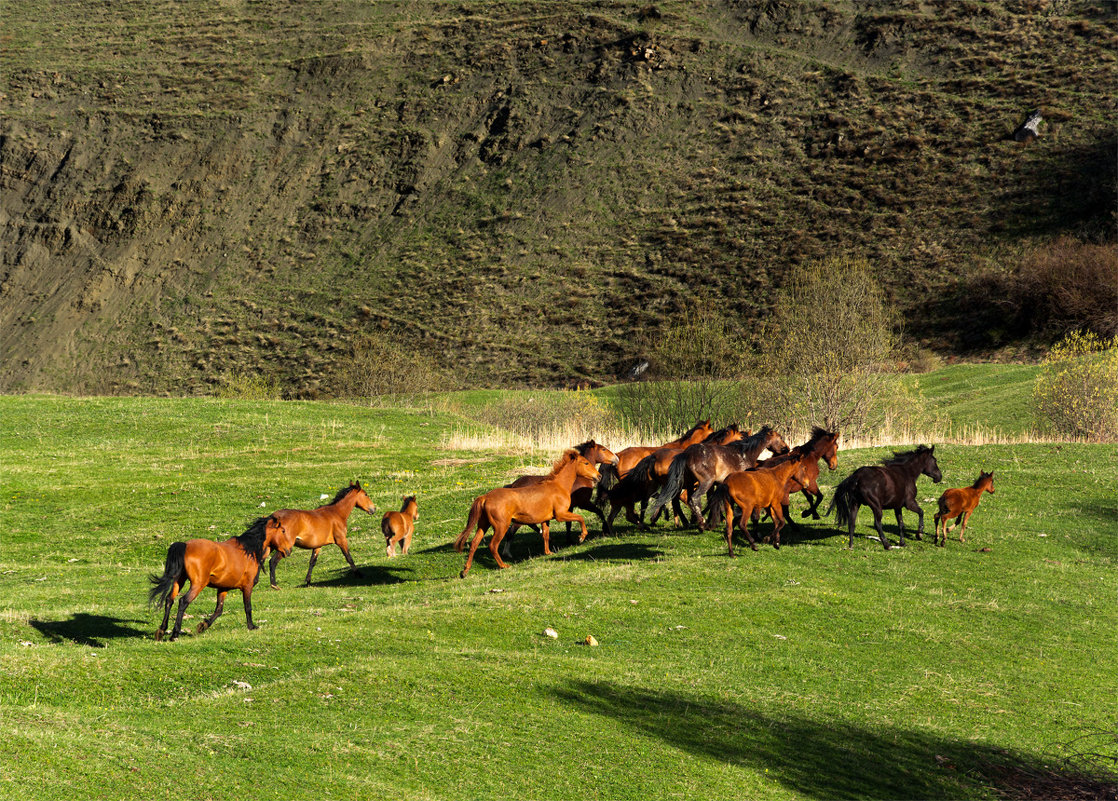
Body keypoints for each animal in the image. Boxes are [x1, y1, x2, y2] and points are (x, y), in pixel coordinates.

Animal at [147, 516, 288, 639]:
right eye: (283, 530)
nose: (287, 551)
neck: (249, 550)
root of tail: (185, 545)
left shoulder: (223, 588)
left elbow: (219, 610)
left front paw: (203, 626)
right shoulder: (247, 586)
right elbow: (248, 607)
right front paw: (252, 626)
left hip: (179, 580)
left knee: (169, 600)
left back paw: (161, 631)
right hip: (198, 584)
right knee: (183, 601)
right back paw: (175, 634)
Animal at [451, 449, 599, 577]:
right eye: (586, 462)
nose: (598, 476)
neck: (558, 486)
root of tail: (485, 497)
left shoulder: (546, 519)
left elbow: (545, 535)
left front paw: (548, 552)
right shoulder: (561, 515)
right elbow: (580, 518)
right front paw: (581, 537)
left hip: (483, 524)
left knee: (474, 543)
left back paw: (465, 571)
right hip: (501, 526)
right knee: (493, 545)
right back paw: (503, 565)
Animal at [643, 425, 791, 532]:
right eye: (780, 437)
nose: (787, 449)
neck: (743, 454)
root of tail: (686, 453)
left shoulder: (720, 484)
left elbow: (714, 501)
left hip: (690, 483)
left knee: (683, 499)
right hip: (705, 482)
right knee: (693, 498)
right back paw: (701, 524)